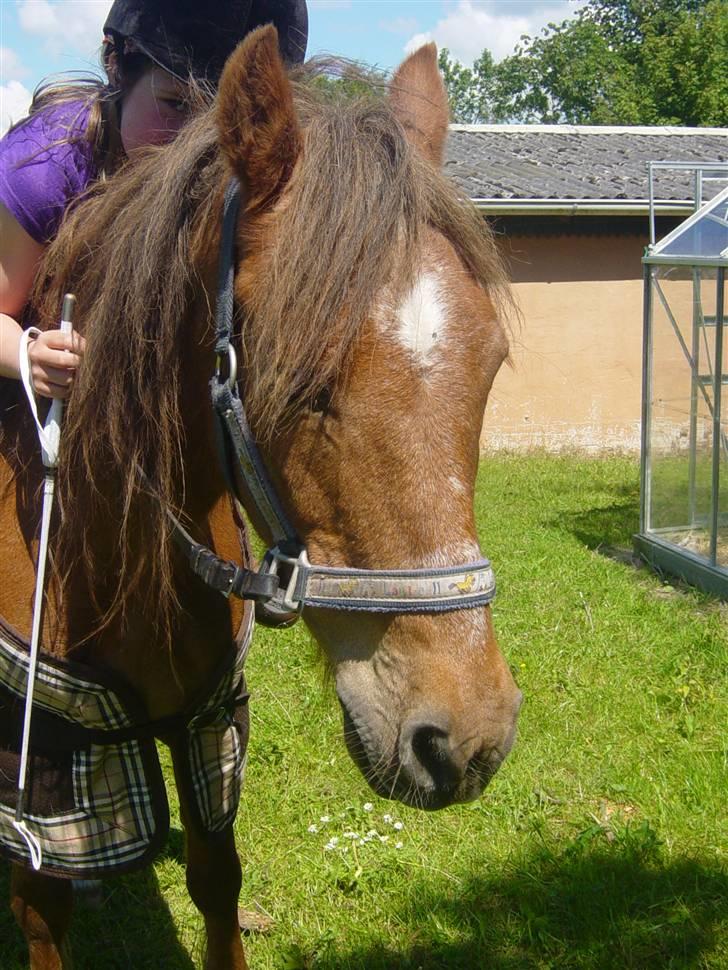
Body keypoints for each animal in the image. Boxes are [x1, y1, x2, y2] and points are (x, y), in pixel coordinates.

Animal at [0, 28, 524, 968]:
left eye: (490, 364)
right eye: (300, 383)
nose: (467, 740)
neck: (115, 564)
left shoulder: (208, 725)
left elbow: (218, 879)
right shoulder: (48, 762)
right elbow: (40, 909)